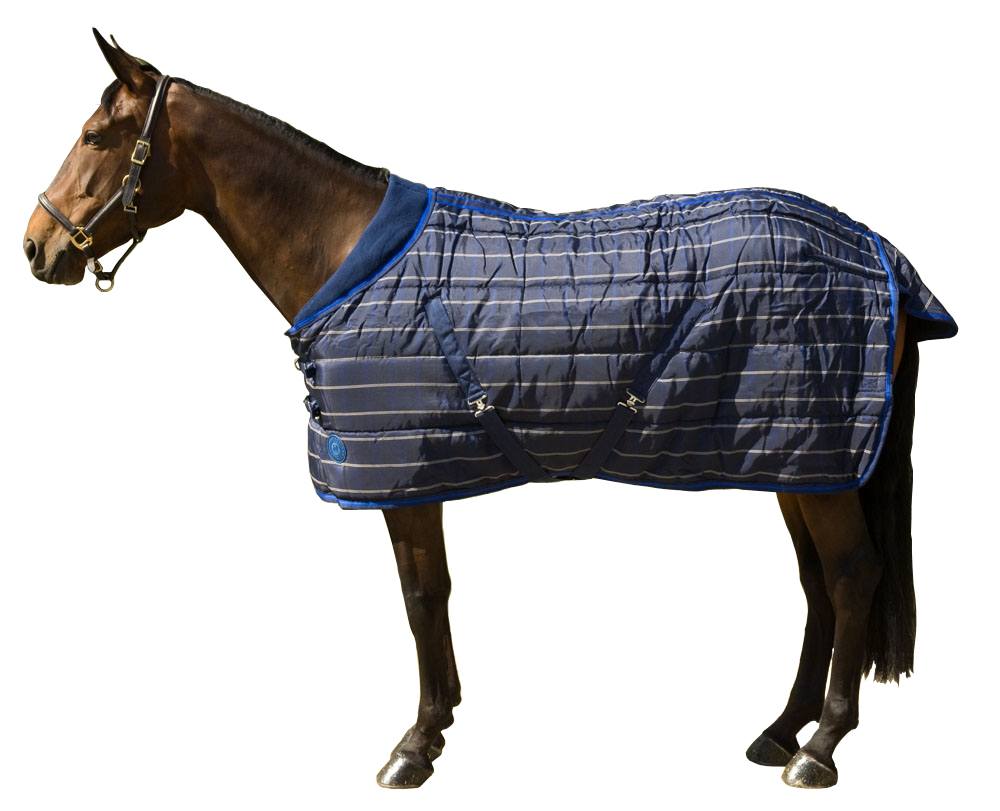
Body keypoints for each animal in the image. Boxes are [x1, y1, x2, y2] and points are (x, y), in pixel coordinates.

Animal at [23, 30, 957, 790]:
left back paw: (820, 745)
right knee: (818, 587)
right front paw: (438, 724)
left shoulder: (403, 475)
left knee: (852, 575)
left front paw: (415, 743)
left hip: (816, 458)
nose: (37, 245)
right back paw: (779, 729)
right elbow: (431, 594)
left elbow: (420, 595)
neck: (349, 252)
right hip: (797, 458)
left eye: (97, 136)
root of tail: (880, 252)